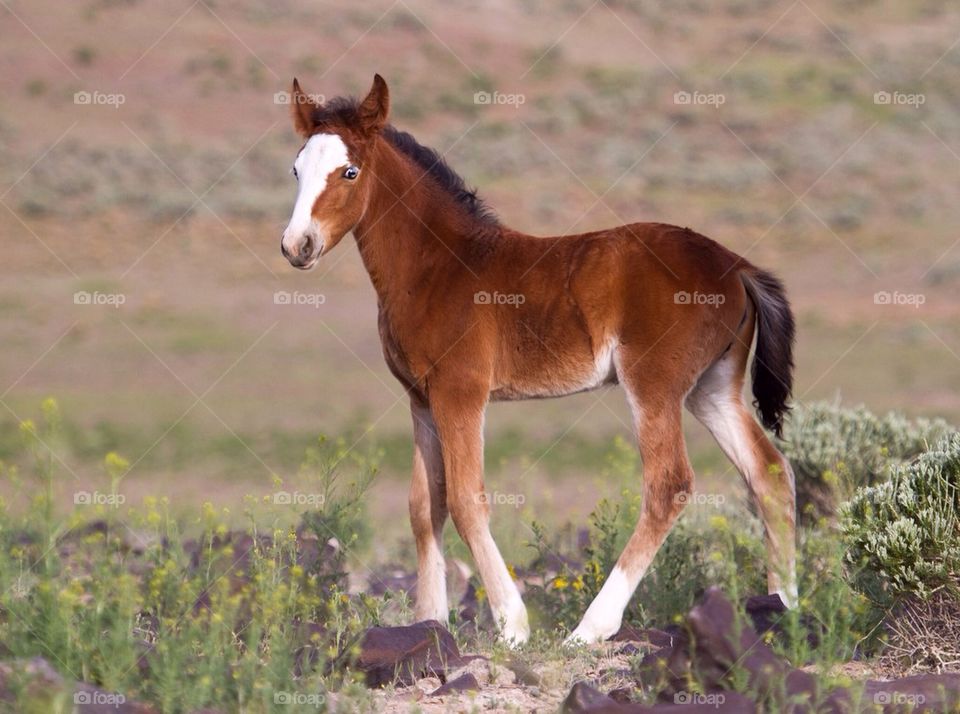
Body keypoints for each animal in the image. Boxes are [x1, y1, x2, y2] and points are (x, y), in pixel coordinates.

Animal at [280, 74, 797, 644]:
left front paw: (512, 625)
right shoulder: (420, 398)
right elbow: (424, 506)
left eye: (349, 171)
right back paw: (785, 606)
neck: (438, 266)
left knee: (670, 485)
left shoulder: (461, 392)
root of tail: (737, 265)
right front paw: (429, 620)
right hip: (712, 388)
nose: (297, 245)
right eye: (297, 169)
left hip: (654, 384)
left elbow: (465, 500)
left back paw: (590, 628)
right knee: (770, 472)